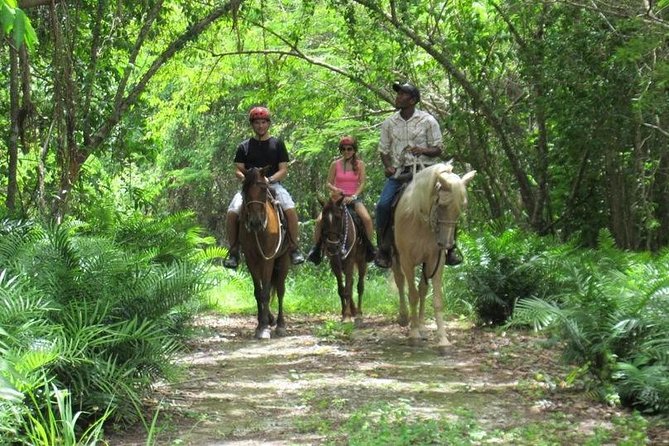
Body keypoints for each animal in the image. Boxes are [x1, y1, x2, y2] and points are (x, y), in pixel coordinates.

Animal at [240, 166, 290, 338]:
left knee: (280, 289)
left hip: (283, 260)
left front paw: (264, 327)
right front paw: (261, 323)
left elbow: (266, 292)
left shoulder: (268, 259)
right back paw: (270, 318)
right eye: (245, 190)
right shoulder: (251, 260)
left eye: (263, 190)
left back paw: (281, 324)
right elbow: (258, 291)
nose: (255, 222)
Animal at [388, 162, 478, 354]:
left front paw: (443, 341)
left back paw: (422, 326)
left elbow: (436, 300)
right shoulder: (407, 260)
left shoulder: (435, 260)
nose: (446, 244)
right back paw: (405, 318)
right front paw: (413, 334)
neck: (419, 218)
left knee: (423, 289)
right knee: (400, 282)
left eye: (461, 208)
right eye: (442, 204)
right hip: (395, 257)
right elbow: (412, 295)